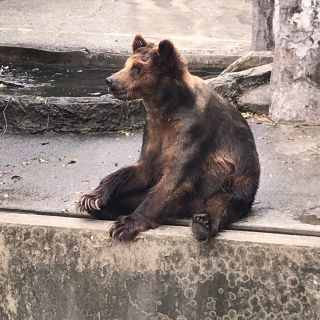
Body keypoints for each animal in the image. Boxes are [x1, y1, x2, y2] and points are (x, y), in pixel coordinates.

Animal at [78, 34, 260, 240]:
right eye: (126, 64)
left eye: (137, 68)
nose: (110, 80)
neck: (165, 108)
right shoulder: (153, 131)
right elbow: (140, 169)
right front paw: (92, 198)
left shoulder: (193, 130)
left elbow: (175, 178)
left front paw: (125, 225)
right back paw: (104, 208)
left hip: (236, 181)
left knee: (223, 202)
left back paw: (202, 222)